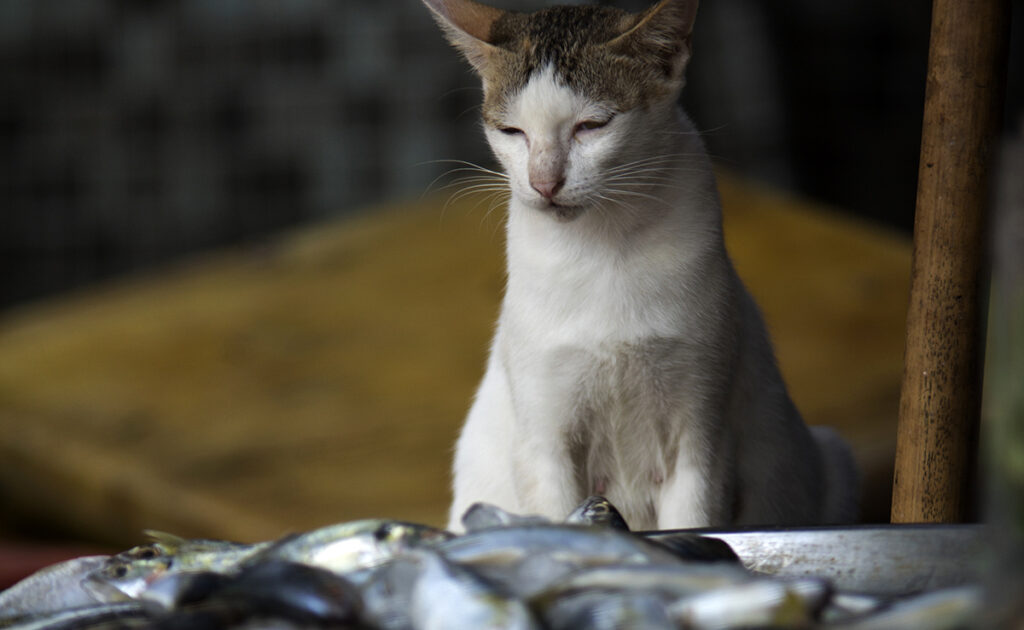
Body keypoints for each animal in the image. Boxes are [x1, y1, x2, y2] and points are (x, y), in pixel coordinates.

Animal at [419, 0, 860, 532]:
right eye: (512, 132)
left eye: (592, 125)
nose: (544, 182)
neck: (604, 251)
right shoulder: (544, 444)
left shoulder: (700, 440)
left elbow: (692, 518)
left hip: (834, 456)